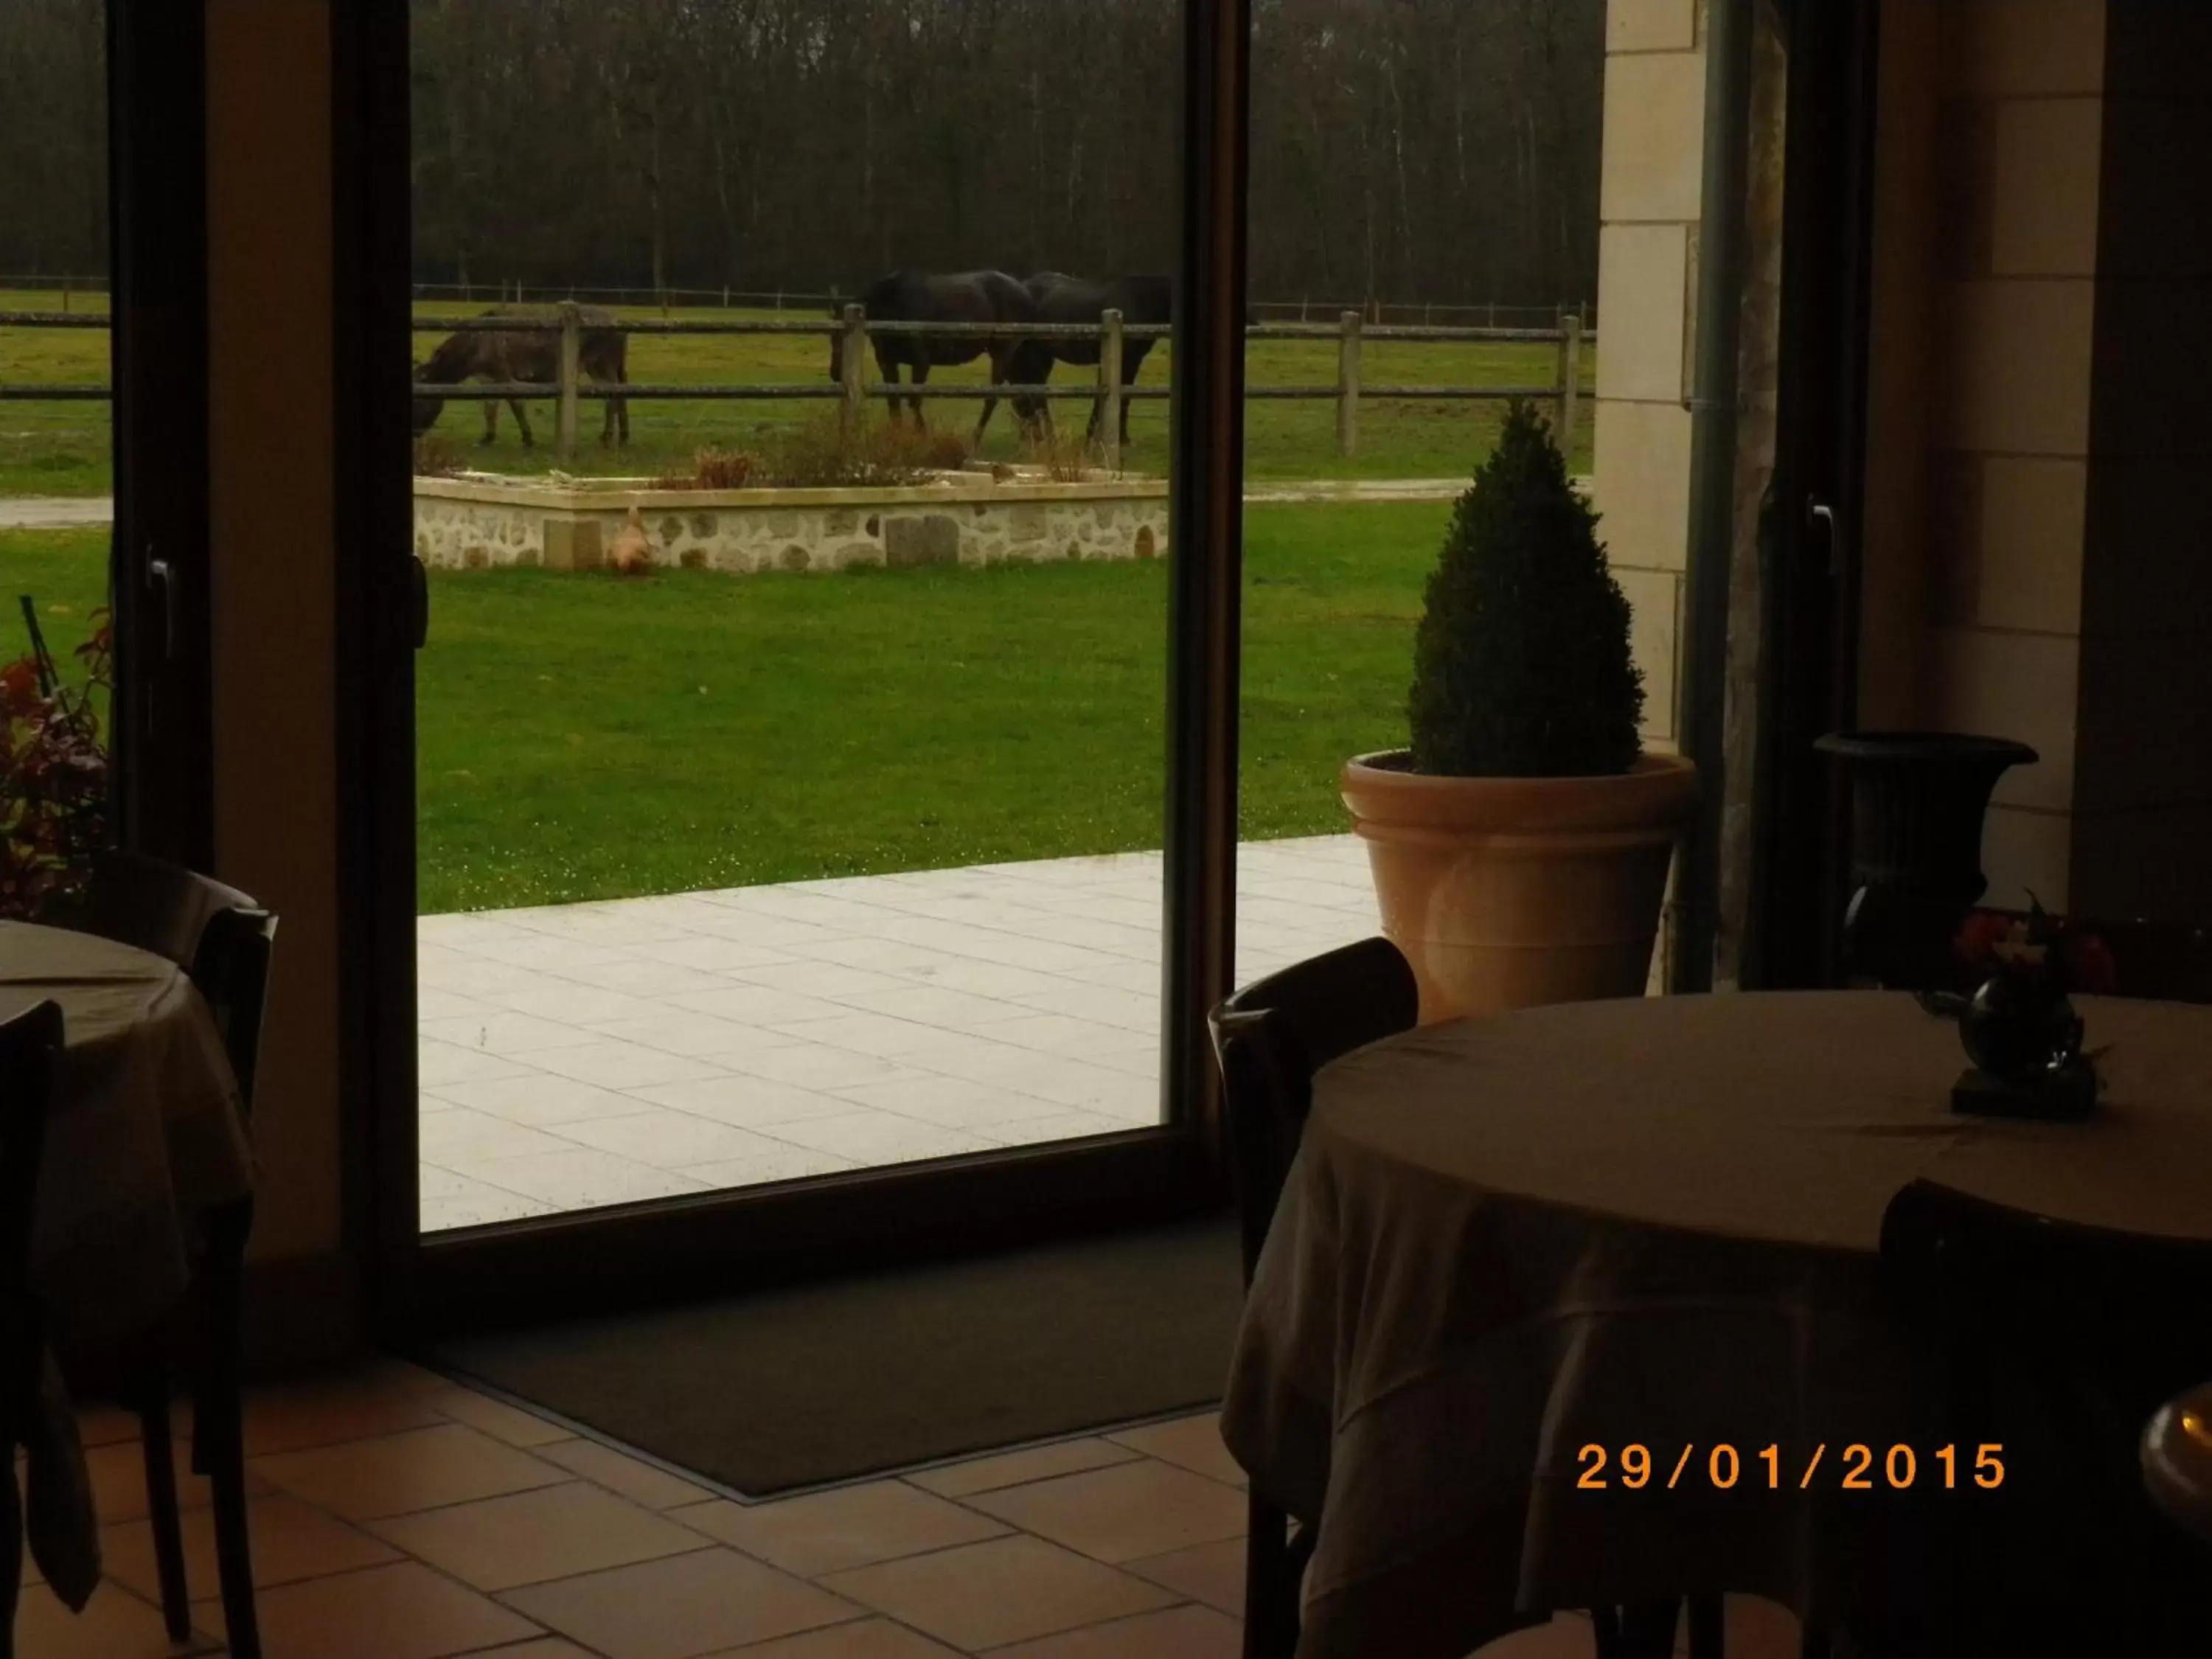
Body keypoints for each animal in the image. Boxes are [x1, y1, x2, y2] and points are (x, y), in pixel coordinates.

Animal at [832, 271, 1035, 442]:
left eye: (842, 338)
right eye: (832, 337)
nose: (835, 373)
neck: (894, 304)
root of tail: (1024, 291)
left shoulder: (921, 363)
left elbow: (914, 400)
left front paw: (923, 437)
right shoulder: (888, 364)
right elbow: (894, 401)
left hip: (1003, 353)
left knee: (993, 398)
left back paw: (975, 440)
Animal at [1009, 274, 1177, 451]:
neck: (1139, 301)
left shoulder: (1132, 361)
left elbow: (1121, 396)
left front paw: (1114, 438)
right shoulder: (1123, 360)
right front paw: (1098, 439)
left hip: (1043, 356)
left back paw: (1038, 435)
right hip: (1029, 355)